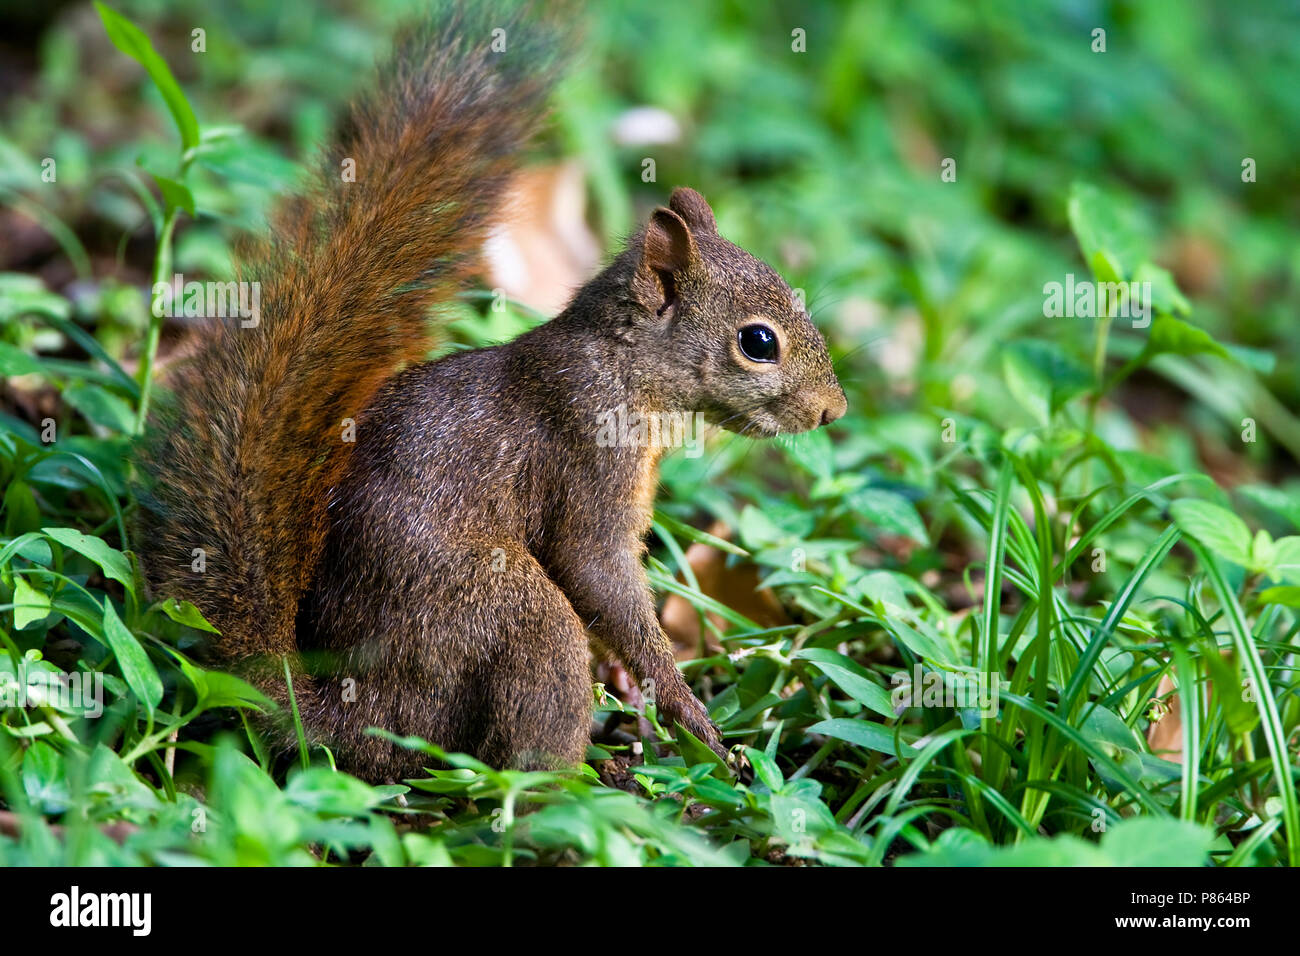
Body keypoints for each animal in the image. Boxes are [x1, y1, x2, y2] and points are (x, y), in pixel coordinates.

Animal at [131, 3, 842, 785]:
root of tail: (356, 710)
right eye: (758, 342)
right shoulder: (587, 451)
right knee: (519, 746)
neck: (624, 367)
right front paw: (693, 718)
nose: (832, 409)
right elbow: (597, 571)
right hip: (507, 611)